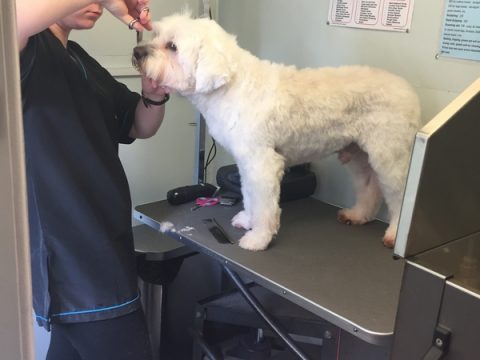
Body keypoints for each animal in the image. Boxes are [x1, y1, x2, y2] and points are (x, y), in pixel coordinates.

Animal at [133, 13, 422, 250]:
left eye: (172, 46)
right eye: (156, 35)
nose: (137, 51)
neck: (232, 87)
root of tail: (410, 92)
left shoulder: (263, 163)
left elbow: (264, 205)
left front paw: (258, 239)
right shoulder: (247, 162)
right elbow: (250, 196)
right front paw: (247, 220)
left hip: (390, 156)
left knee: (400, 199)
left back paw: (393, 235)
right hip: (360, 156)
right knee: (370, 189)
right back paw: (357, 215)